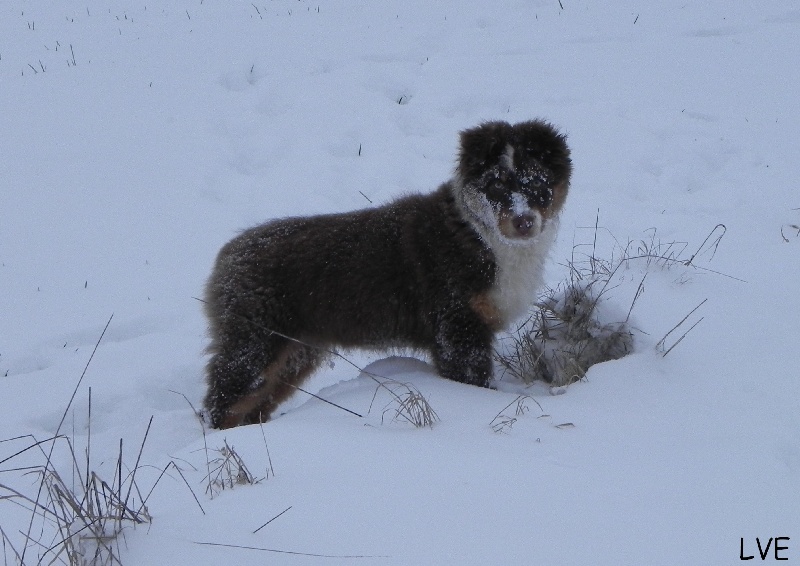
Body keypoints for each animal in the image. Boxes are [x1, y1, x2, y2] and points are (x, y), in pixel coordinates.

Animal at [203, 121, 572, 430]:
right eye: (494, 186)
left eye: (538, 183)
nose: (524, 222)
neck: (481, 236)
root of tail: (227, 256)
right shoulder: (458, 328)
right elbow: (474, 381)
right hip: (255, 342)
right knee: (224, 403)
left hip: (295, 354)